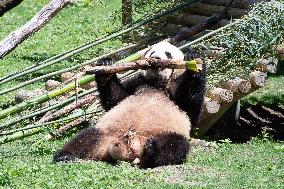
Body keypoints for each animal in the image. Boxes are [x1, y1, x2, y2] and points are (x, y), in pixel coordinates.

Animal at [54, 41, 206, 168]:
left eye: (168, 54)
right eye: (152, 52)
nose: (156, 58)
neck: (158, 84)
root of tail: (128, 149)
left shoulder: (177, 91)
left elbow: (192, 107)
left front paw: (193, 59)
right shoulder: (137, 83)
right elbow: (115, 98)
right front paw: (106, 65)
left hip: (166, 132)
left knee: (174, 147)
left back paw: (151, 151)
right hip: (106, 132)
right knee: (85, 139)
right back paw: (65, 156)